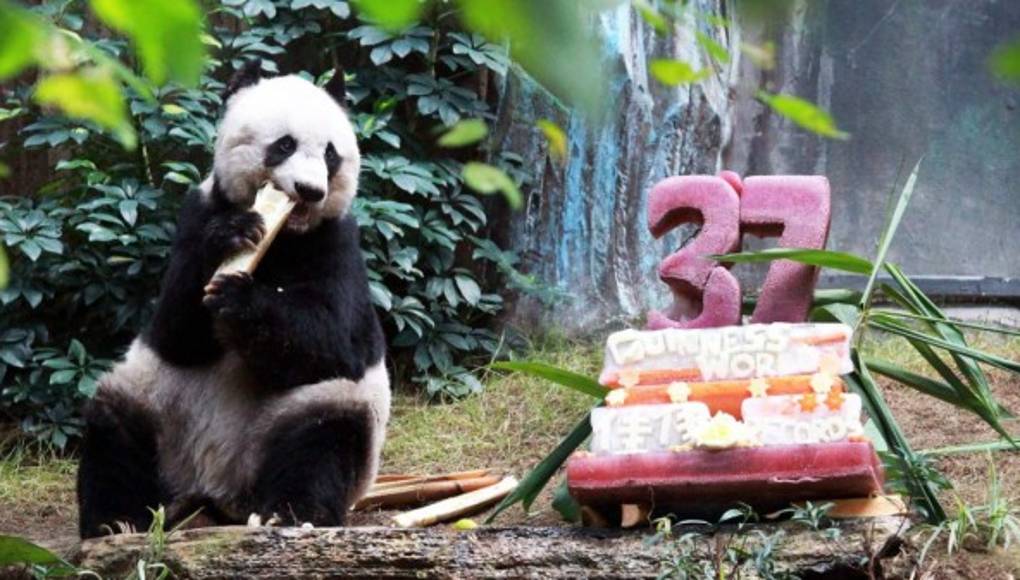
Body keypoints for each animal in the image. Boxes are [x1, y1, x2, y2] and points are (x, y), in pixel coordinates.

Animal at [76, 60, 390, 538]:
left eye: (331, 155)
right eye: (284, 144)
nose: (310, 190)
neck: (286, 236)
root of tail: (214, 490)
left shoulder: (337, 243)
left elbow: (337, 342)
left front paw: (241, 301)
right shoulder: (198, 211)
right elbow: (175, 332)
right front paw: (232, 237)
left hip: (302, 415)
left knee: (323, 436)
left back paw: (292, 512)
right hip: (156, 403)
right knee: (116, 427)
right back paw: (116, 520)